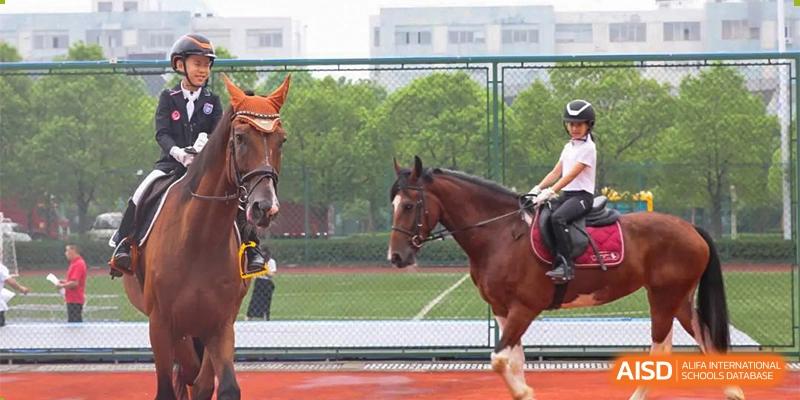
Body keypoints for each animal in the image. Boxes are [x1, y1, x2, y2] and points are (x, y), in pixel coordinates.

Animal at [121, 74, 291, 400]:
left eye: (281, 139)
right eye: (240, 138)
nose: (265, 207)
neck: (200, 238)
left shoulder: (220, 324)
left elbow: (220, 386)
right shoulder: (161, 324)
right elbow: (172, 385)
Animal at [388, 156, 743, 400]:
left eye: (409, 205)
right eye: (393, 204)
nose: (396, 256)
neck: (501, 233)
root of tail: (690, 227)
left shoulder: (524, 308)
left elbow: (500, 360)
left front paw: (524, 392)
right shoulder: (503, 310)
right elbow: (514, 360)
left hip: (664, 296)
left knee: (662, 348)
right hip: (677, 298)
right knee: (703, 337)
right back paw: (732, 391)